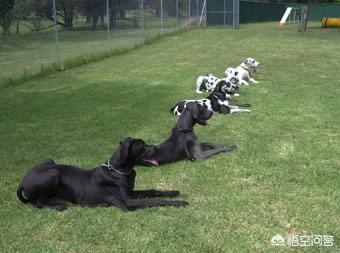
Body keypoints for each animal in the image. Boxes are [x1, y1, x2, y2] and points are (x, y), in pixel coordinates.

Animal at [16, 137, 189, 211]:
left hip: (50, 161)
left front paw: (173, 192)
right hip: (53, 173)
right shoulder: (127, 202)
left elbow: (153, 191)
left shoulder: (130, 192)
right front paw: (179, 202)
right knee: (38, 203)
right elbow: (155, 200)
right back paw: (58, 206)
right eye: (142, 146)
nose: (157, 147)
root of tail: (22, 181)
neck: (119, 170)